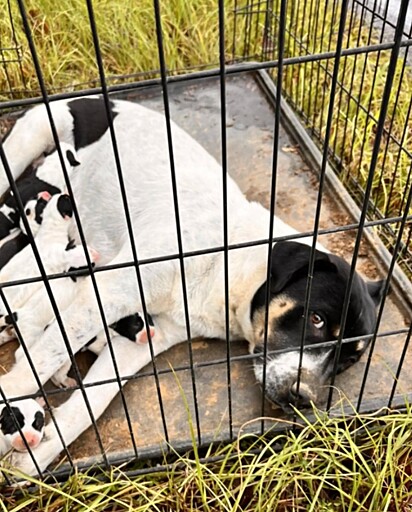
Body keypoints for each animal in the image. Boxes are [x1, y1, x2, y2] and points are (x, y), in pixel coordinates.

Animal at [0, 97, 386, 476]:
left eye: (350, 360)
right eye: (317, 319)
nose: (303, 399)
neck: (230, 263)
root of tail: (93, 100)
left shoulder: (146, 335)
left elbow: (92, 401)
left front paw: (39, 451)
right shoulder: (111, 291)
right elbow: (45, 356)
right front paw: (10, 396)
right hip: (24, 143)